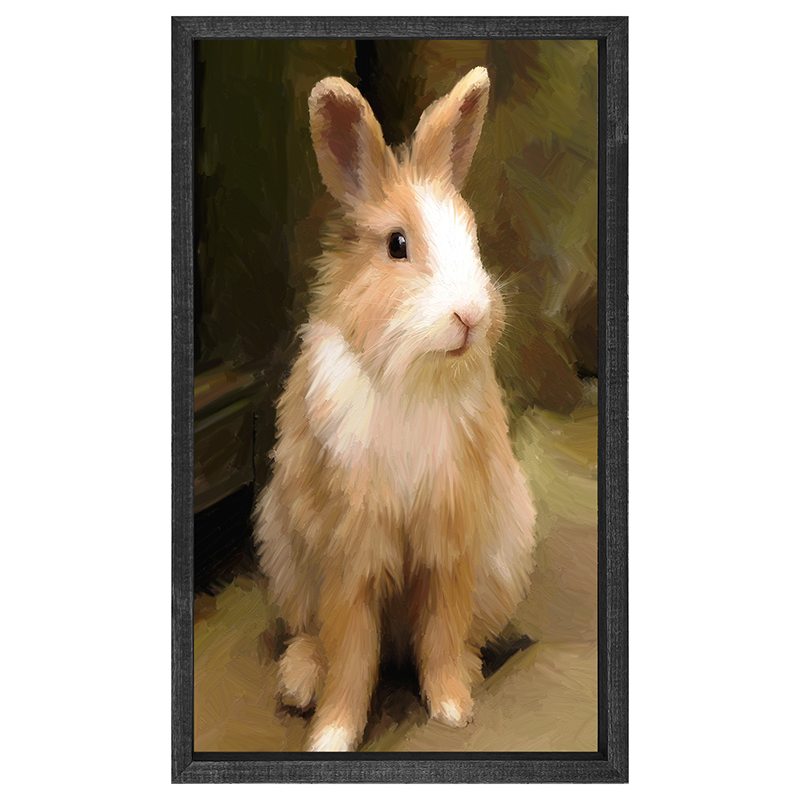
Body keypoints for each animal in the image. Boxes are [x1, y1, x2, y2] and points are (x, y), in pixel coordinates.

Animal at [252, 66, 537, 752]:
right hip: (285, 554)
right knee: (315, 636)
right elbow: (352, 649)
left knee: (457, 635)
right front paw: (331, 735)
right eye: (398, 244)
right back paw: (299, 683)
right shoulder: (350, 548)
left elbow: (441, 628)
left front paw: (454, 708)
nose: (471, 315)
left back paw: (469, 670)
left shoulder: (448, 538)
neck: (412, 375)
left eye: (472, 237)